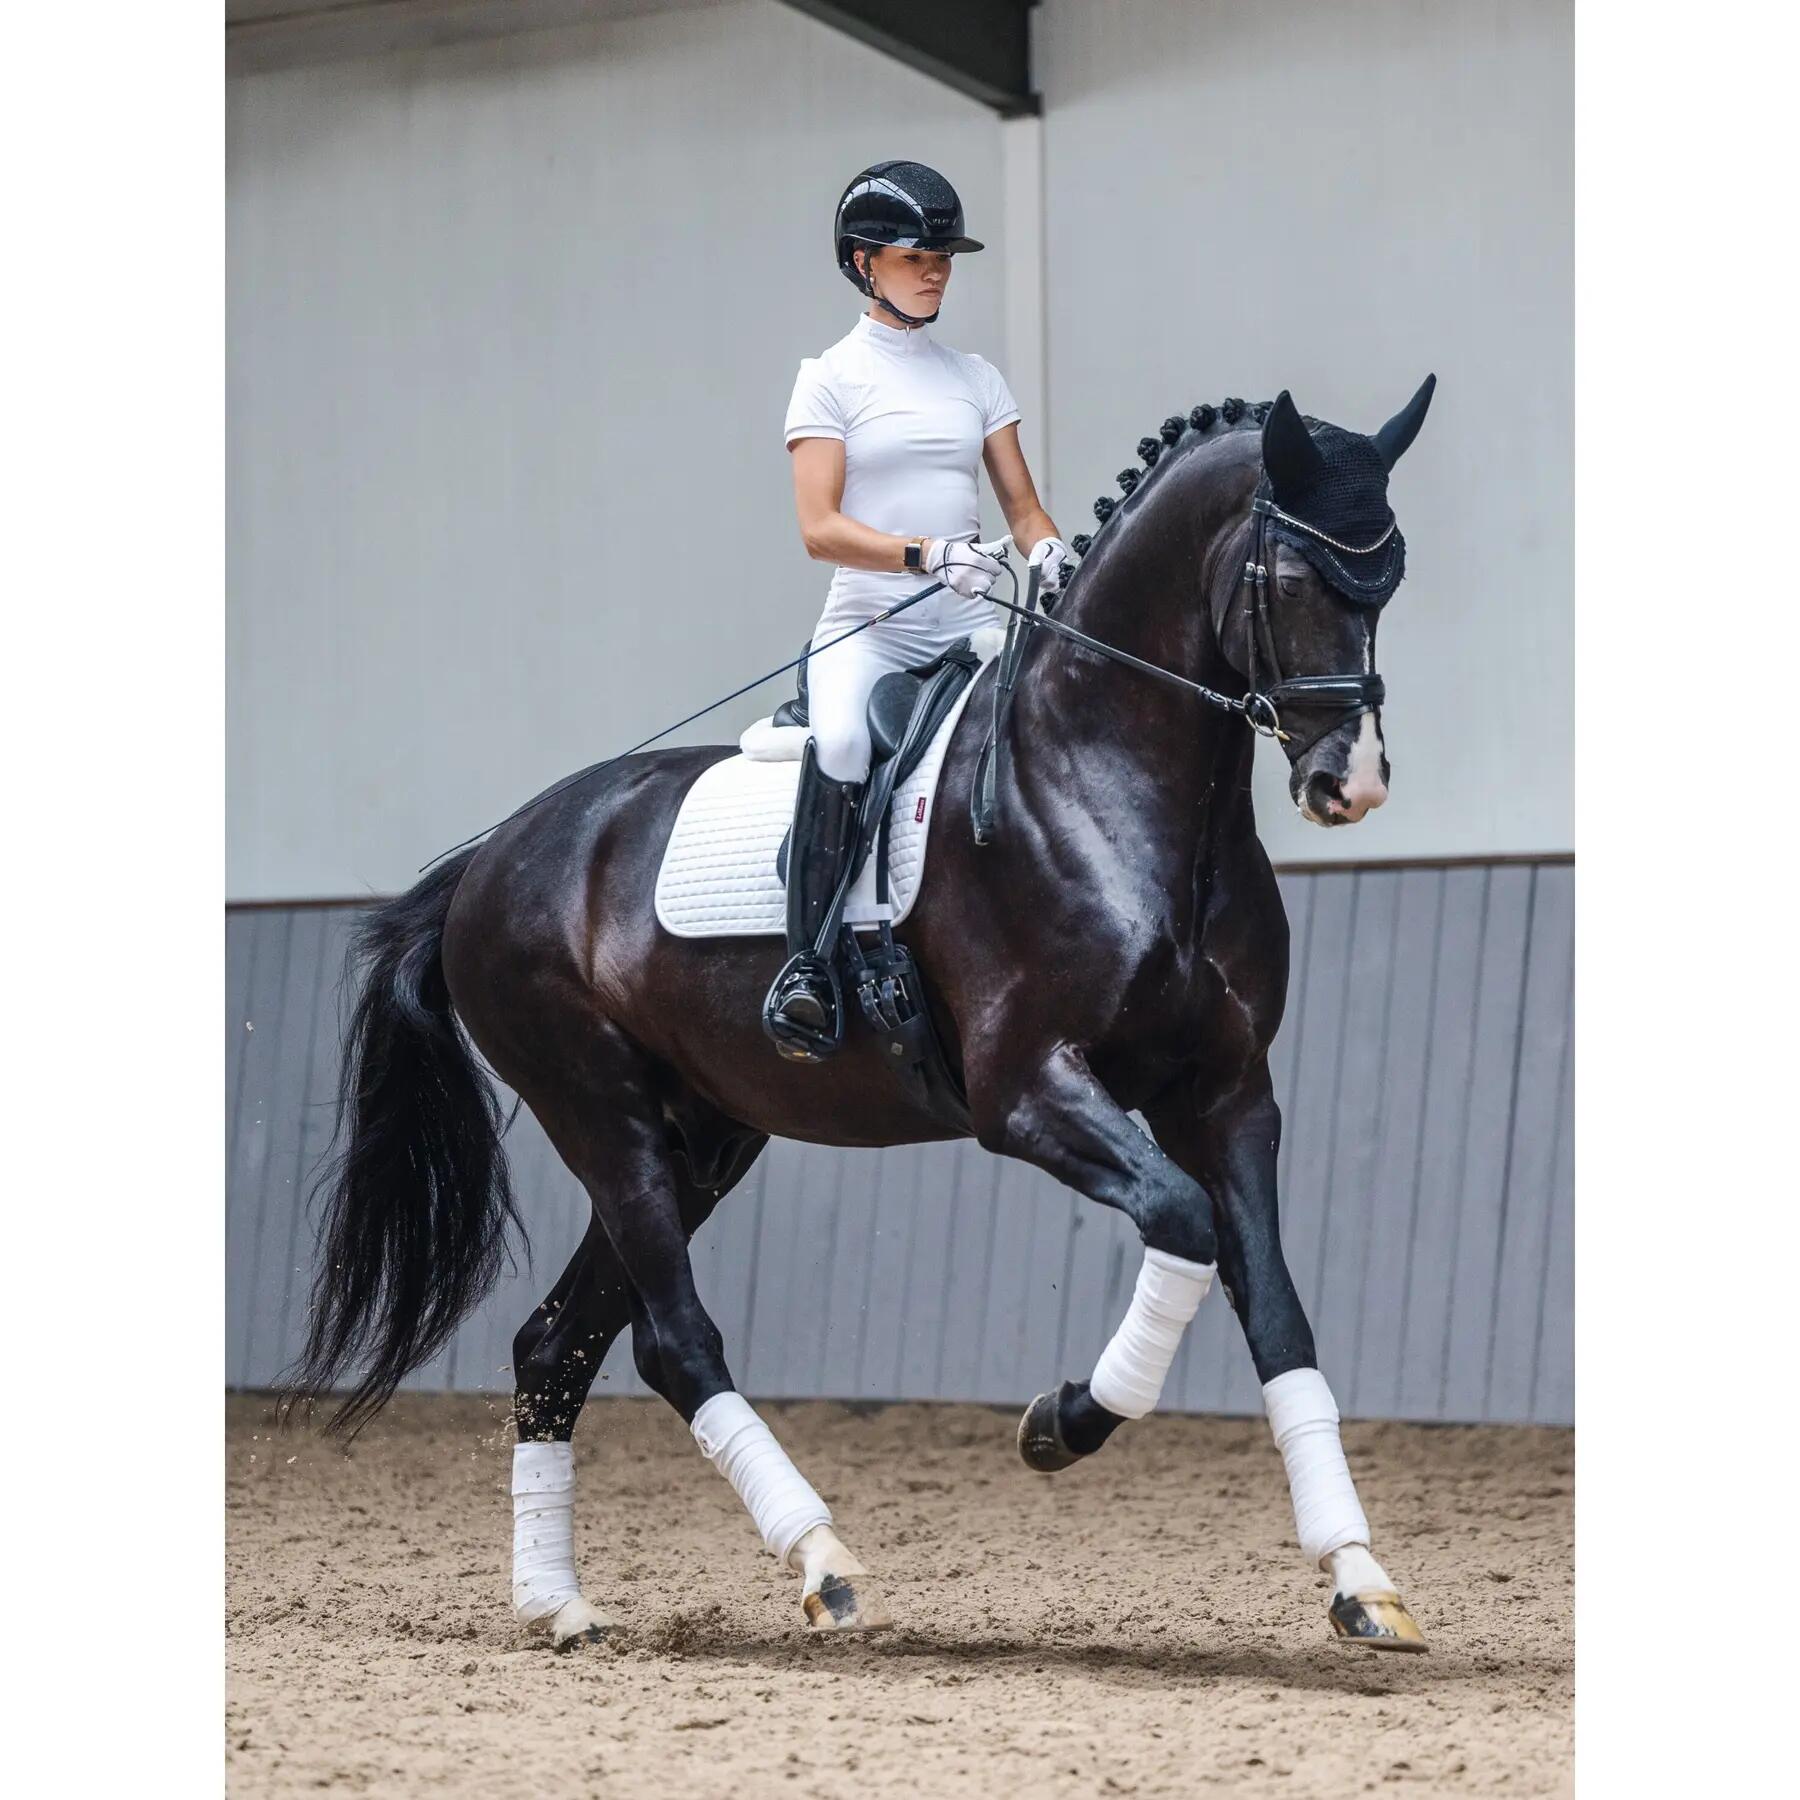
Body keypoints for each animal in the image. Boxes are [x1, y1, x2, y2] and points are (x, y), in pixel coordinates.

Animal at [286, 377, 1438, 1655]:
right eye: (1288, 577)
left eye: (1389, 577)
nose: (1351, 784)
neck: (1107, 783)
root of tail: (490, 858)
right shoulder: (1028, 1092)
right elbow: (1182, 1223)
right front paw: (1058, 1423)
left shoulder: (1228, 1094)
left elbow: (1276, 1312)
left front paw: (1360, 1578)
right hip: (601, 1117)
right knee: (672, 1340)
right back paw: (822, 1562)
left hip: (701, 1138)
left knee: (556, 1344)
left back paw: (561, 1606)